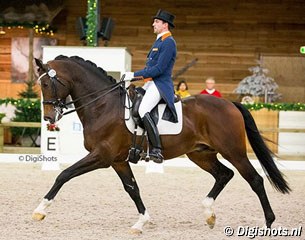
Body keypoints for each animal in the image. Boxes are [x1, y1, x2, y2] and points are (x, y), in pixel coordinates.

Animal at [32, 55, 288, 233]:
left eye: (46, 85)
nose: (49, 118)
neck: (103, 105)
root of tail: (229, 103)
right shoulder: (117, 160)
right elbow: (132, 188)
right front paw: (141, 223)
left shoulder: (102, 156)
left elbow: (64, 175)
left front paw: (40, 210)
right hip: (201, 154)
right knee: (224, 175)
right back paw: (209, 214)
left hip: (233, 151)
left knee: (255, 180)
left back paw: (267, 223)